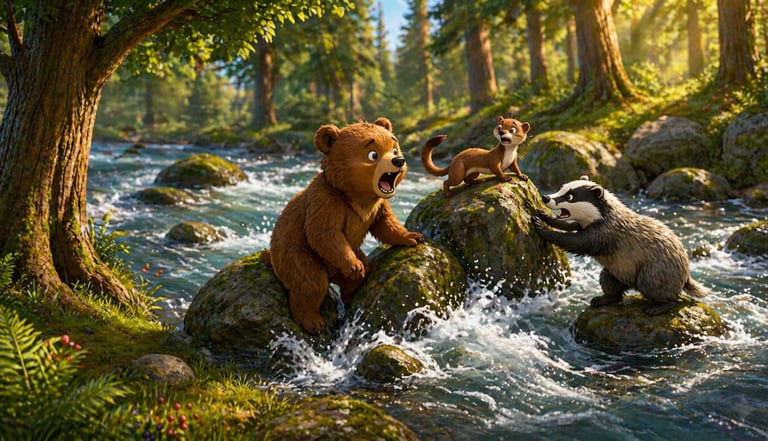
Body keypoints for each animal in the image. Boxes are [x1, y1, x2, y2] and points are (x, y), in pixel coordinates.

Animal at [265, 117, 425, 334]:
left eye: (394, 148)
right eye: (373, 154)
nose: (399, 160)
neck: (356, 196)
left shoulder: (377, 206)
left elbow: (385, 224)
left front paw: (413, 236)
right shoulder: (327, 200)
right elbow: (323, 233)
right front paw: (353, 265)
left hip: (346, 256)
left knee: (359, 273)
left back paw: (350, 295)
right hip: (293, 253)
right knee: (311, 281)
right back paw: (313, 321)